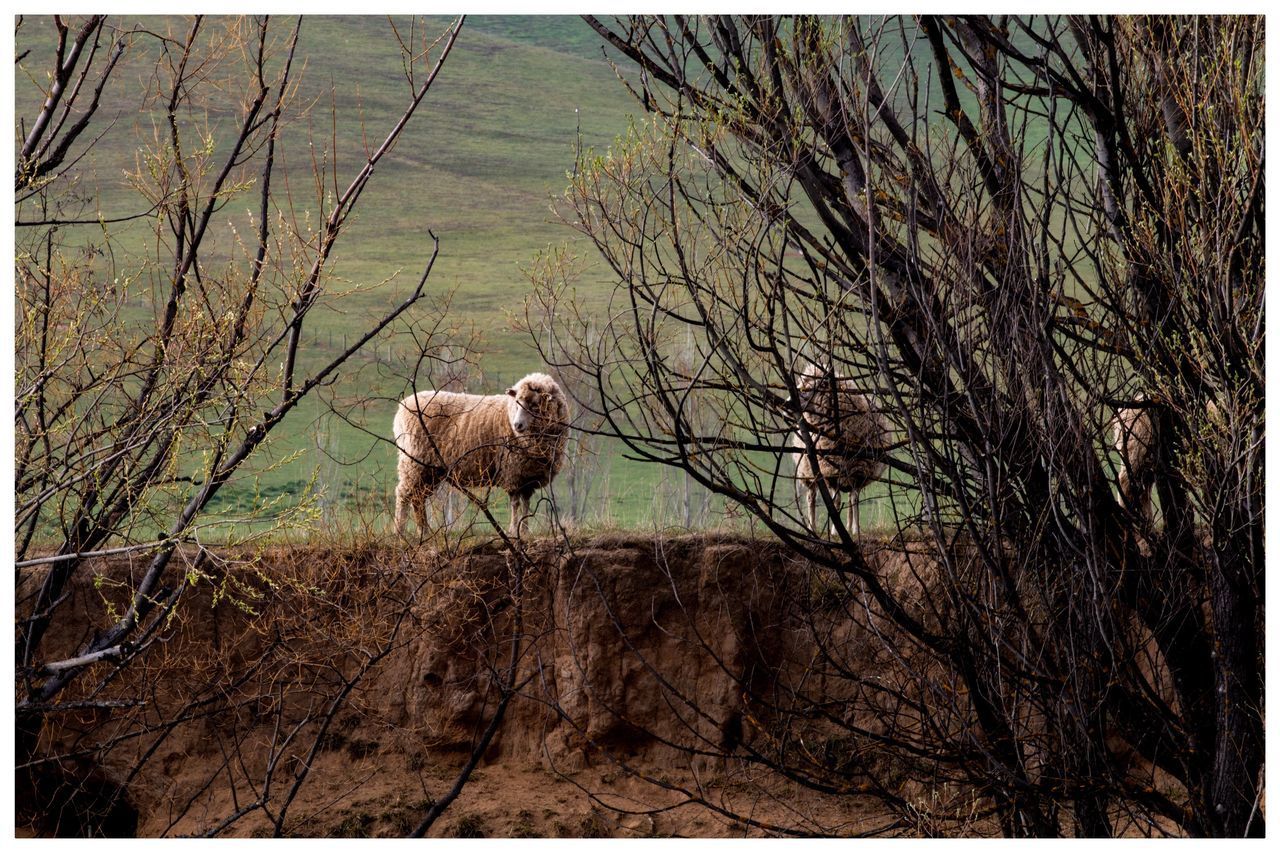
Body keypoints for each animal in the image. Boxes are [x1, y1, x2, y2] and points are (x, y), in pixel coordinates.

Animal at [389, 371, 570, 535]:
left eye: (534, 406)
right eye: (517, 403)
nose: (517, 425)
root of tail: (402, 406)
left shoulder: (528, 476)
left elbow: (526, 504)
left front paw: (524, 530)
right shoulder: (512, 471)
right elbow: (515, 503)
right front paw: (513, 530)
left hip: (429, 470)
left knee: (418, 498)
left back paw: (424, 531)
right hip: (414, 462)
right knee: (404, 494)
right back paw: (400, 531)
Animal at [788, 361, 890, 535]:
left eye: (807, 389)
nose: (787, 403)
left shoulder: (859, 471)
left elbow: (854, 499)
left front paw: (855, 530)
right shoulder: (830, 473)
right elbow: (835, 502)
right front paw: (835, 531)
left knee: (848, 498)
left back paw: (848, 526)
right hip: (809, 473)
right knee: (811, 498)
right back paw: (812, 527)